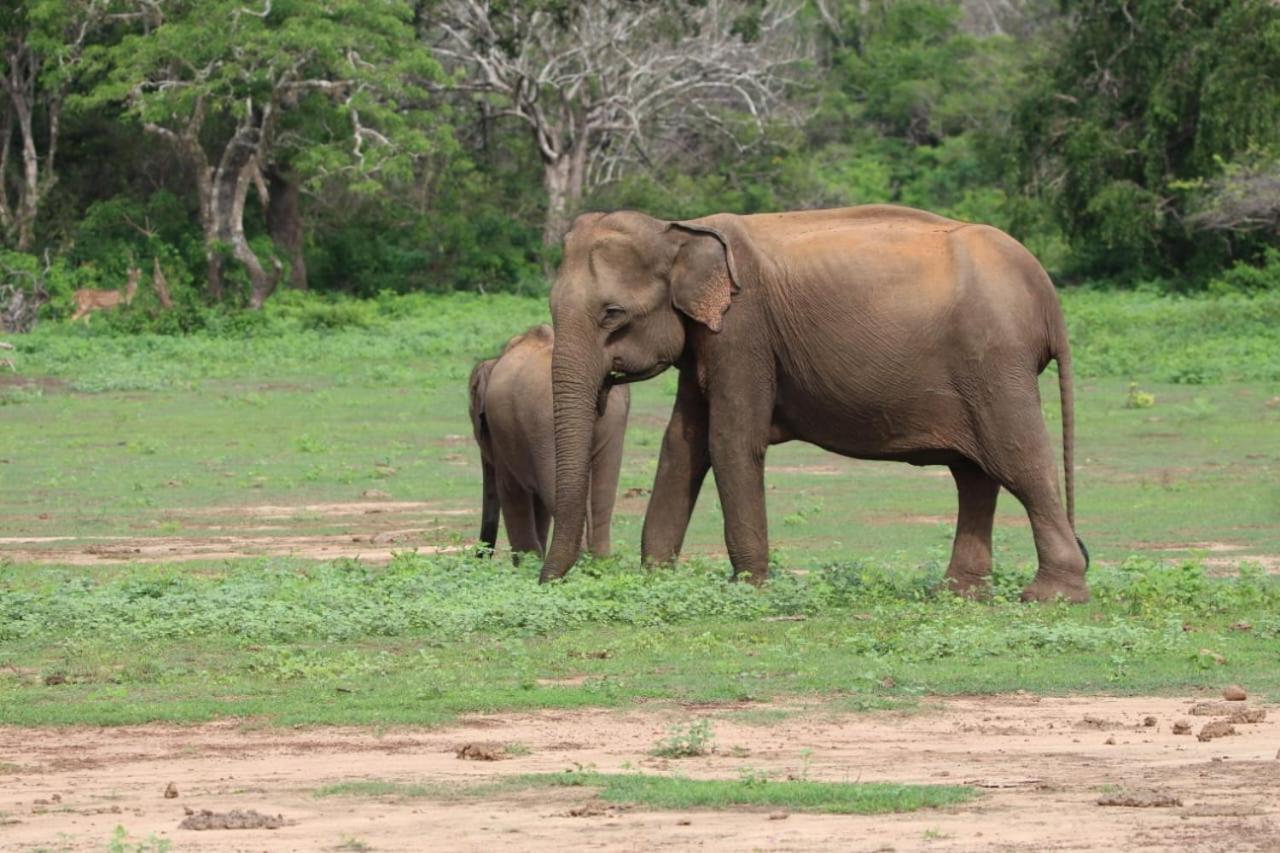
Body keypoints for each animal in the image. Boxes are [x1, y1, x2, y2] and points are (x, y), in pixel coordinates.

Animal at [540, 204, 1090, 601]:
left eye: (612, 314)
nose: (546, 581)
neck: (679, 229)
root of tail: (1049, 297)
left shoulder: (743, 331)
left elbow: (729, 442)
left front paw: (751, 590)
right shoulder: (708, 339)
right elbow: (682, 444)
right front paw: (656, 579)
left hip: (995, 361)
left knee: (1018, 461)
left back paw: (1049, 596)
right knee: (973, 475)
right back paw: (957, 594)